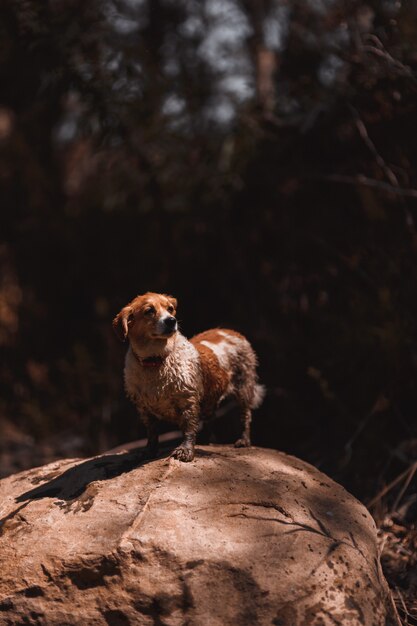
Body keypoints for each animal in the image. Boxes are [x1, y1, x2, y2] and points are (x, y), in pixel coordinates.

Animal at [114, 292, 264, 458]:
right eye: (149, 310)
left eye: (170, 308)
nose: (171, 321)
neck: (156, 361)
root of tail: (232, 331)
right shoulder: (143, 407)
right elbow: (152, 432)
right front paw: (149, 450)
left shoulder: (188, 399)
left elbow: (188, 427)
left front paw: (185, 450)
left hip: (244, 386)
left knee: (245, 415)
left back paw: (243, 440)